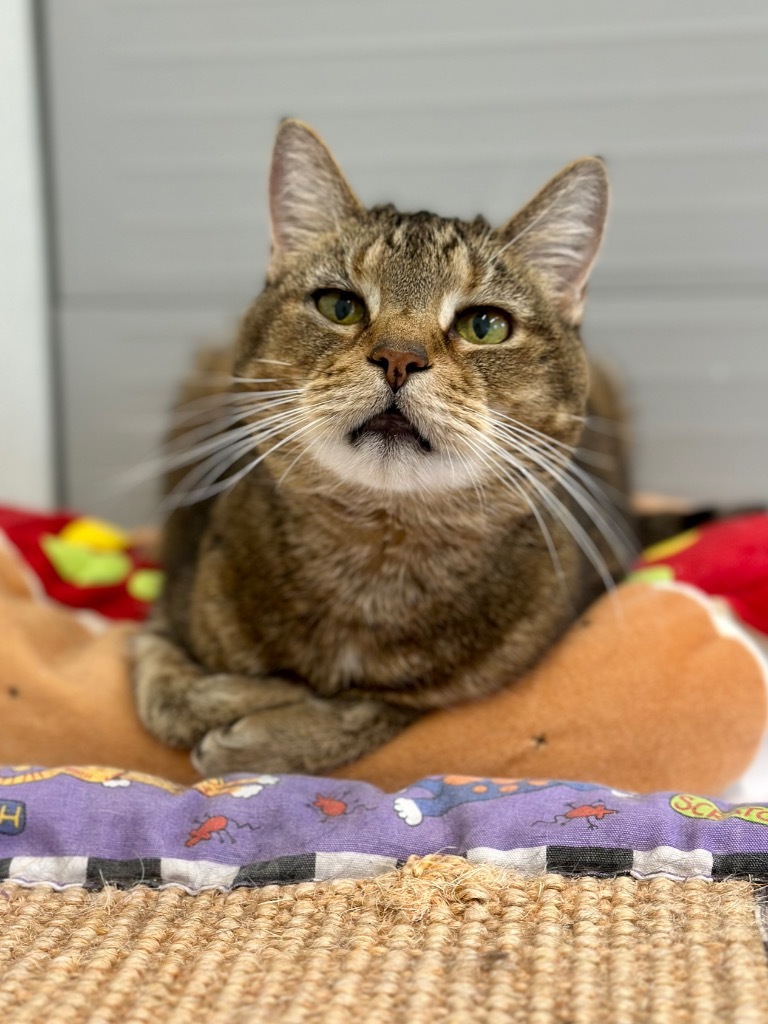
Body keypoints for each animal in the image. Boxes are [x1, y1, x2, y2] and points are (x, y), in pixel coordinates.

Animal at [132, 117, 634, 774]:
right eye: (340, 305)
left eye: (485, 326)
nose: (399, 357)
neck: (376, 549)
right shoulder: (164, 612)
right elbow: (167, 694)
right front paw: (248, 700)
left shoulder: (467, 691)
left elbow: (378, 708)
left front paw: (270, 730)